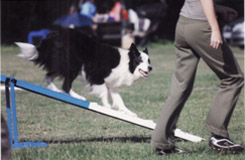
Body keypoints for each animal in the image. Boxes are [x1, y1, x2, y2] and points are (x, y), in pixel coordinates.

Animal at [15, 28, 151, 116]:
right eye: (140, 60)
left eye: (149, 61)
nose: (150, 68)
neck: (127, 63)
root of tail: (53, 36)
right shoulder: (97, 76)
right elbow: (104, 92)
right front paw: (106, 106)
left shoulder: (112, 84)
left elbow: (119, 100)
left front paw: (129, 112)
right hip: (73, 64)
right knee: (65, 84)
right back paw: (78, 97)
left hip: (64, 65)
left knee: (48, 76)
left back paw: (56, 90)